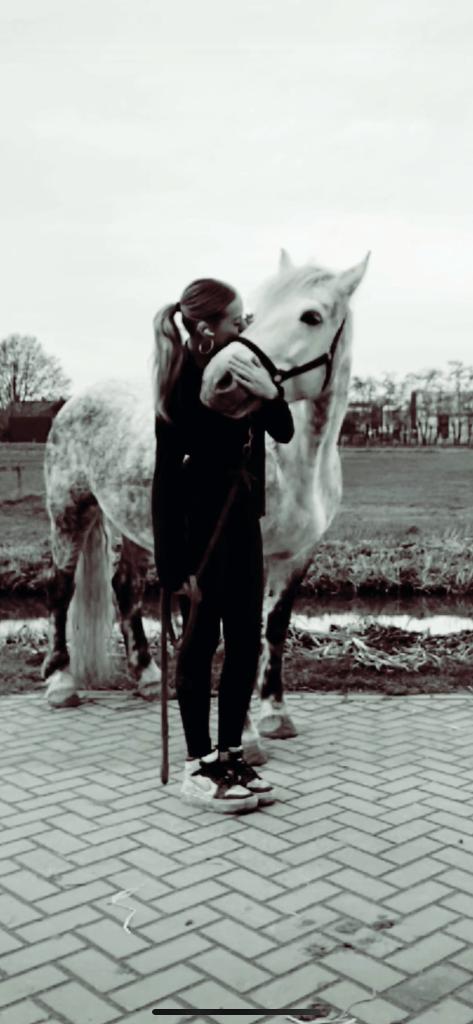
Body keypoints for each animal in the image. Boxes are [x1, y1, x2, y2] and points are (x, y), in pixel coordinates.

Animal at [42, 249, 369, 757]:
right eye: (253, 313)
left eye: (312, 316)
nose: (221, 382)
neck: (297, 463)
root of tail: (78, 400)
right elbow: (236, 634)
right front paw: (245, 736)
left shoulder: (298, 556)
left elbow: (274, 629)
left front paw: (275, 715)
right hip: (67, 513)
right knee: (61, 589)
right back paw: (61, 683)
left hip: (137, 526)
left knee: (124, 589)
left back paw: (149, 678)